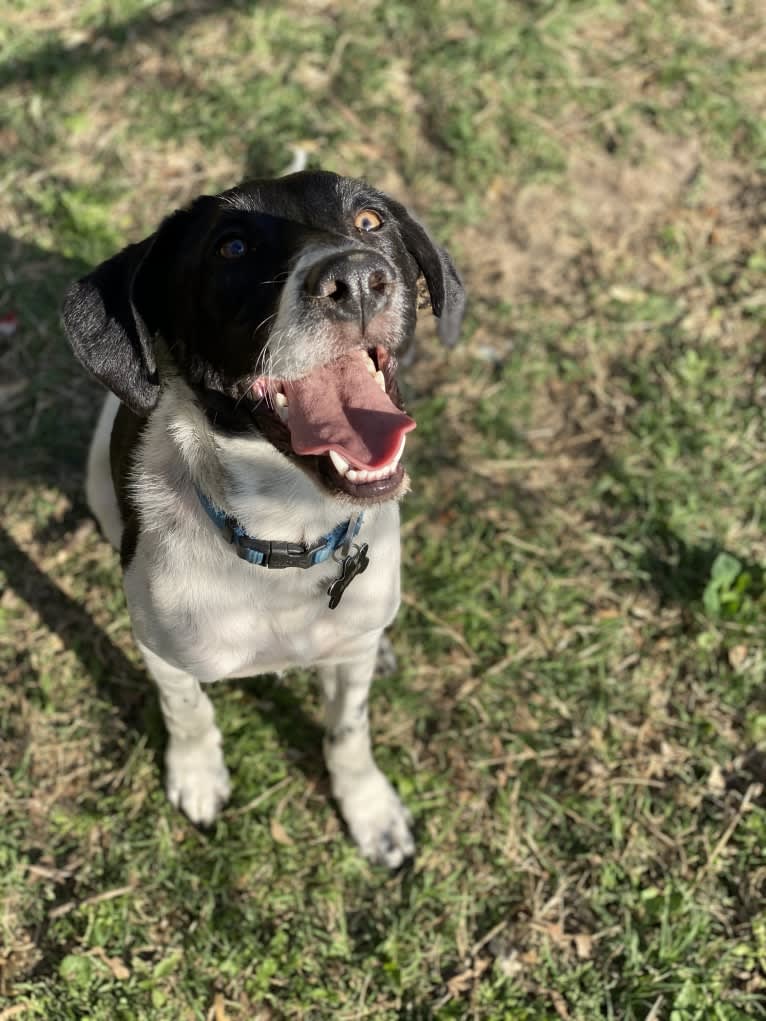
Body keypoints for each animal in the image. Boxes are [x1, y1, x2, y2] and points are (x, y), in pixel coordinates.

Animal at [63, 171, 465, 865]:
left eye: (369, 221)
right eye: (231, 248)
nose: (356, 277)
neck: (285, 535)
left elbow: (349, 731)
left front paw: (369, 810)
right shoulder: (162, 652)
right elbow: (188, 710)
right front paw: (197, 775)